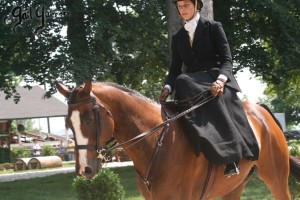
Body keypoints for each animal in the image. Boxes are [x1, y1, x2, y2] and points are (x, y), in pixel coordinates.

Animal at [55, 80, 300, 200]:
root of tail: (262, 111)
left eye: (89, 119)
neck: (157, 143)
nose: (85, 169)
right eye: (68, 123)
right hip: (233, 188)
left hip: (276, 179)